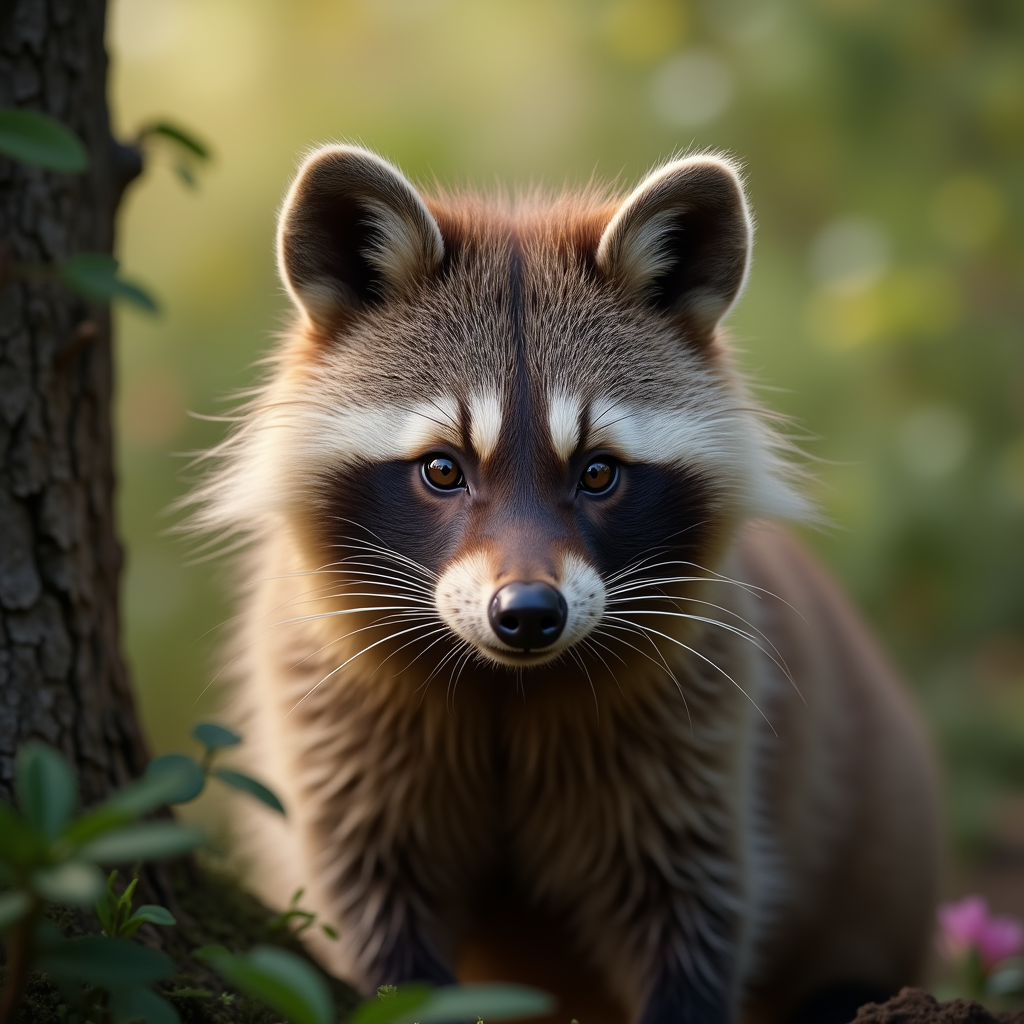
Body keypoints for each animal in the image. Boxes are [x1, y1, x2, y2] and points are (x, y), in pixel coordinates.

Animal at [192, 145, 939, 1024]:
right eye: (443, 469)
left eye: (598, 473)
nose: (526, 614)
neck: (505, 686)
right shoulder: (334, 722)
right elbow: (374, 907)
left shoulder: (694, 733)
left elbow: (695, 903)